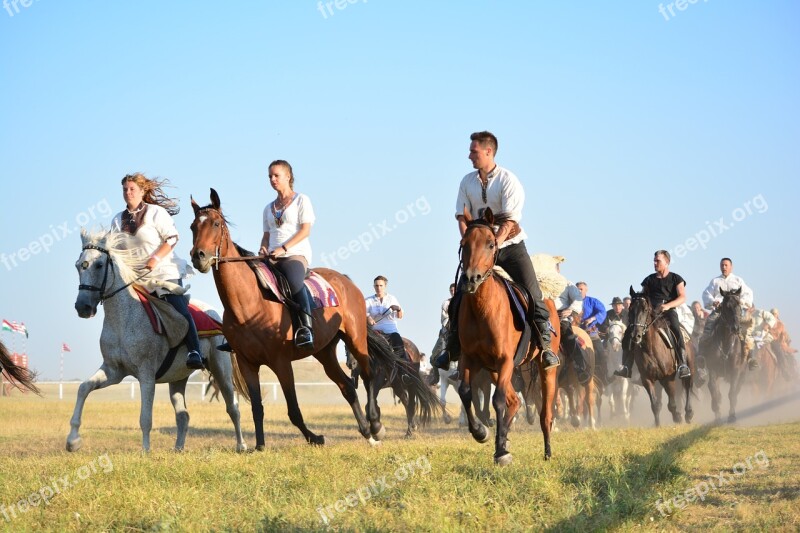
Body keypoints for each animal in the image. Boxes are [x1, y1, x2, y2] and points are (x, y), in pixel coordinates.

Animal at [72, 227, 247, 450]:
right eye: (78, 265)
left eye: (99, 264)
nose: (83, 307)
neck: (124, 318)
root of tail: (215, 313)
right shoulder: (114, 371)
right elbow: (83, 388)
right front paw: (72, 441)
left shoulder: (146, 374)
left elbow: (145, 417)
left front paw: (145, 451)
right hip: (178, 377)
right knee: (183, 415)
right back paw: (178, 449)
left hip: (221, 370)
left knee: (233, 407)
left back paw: (241, 446)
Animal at [189, 189, 438, 446]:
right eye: (192, 227)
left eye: (216, 224)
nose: (199, 256)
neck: (248, 304)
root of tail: (345, 281)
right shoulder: (247, 363)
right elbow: (257, 407)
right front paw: (259, 446)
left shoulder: (281, 362)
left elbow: (293, 410)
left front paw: (315, 437)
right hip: (324, 351)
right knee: (347, 386)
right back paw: (366, 431)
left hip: (355, 339)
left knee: (369, 378)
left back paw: (376, 425)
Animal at [456, 206, 556, 464]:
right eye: (463, 243)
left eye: (491, 244)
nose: (471, 279)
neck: (483, 309)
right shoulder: (469, 359)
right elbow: (465, 392)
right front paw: (481, 433)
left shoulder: (505, 360)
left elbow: (498, 400)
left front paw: (501, 453)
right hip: (493, 369)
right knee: (514, 401)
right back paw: (504, 439)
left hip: (544, 371)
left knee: (544, 414)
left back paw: (547, 452)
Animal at [632, 284, 692, 426]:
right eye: (631, 309)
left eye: (645, 309)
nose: (636, 335)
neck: (651, 348)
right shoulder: (647, 379)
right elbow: (655, 405)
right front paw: (658, 424)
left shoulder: (668, 377)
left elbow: (672, 404)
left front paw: (678, 417)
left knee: (688, 385)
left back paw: (688, 414)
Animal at [696, 288, 748, 422]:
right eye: (726, 306)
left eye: (739, 305)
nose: (736, 328)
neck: (725, 343)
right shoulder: (713, 370)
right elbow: (714, 390)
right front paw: (717, 413)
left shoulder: (735, 370)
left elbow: (732, 392)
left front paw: (732, 415)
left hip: (742, 374)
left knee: (737, 389)